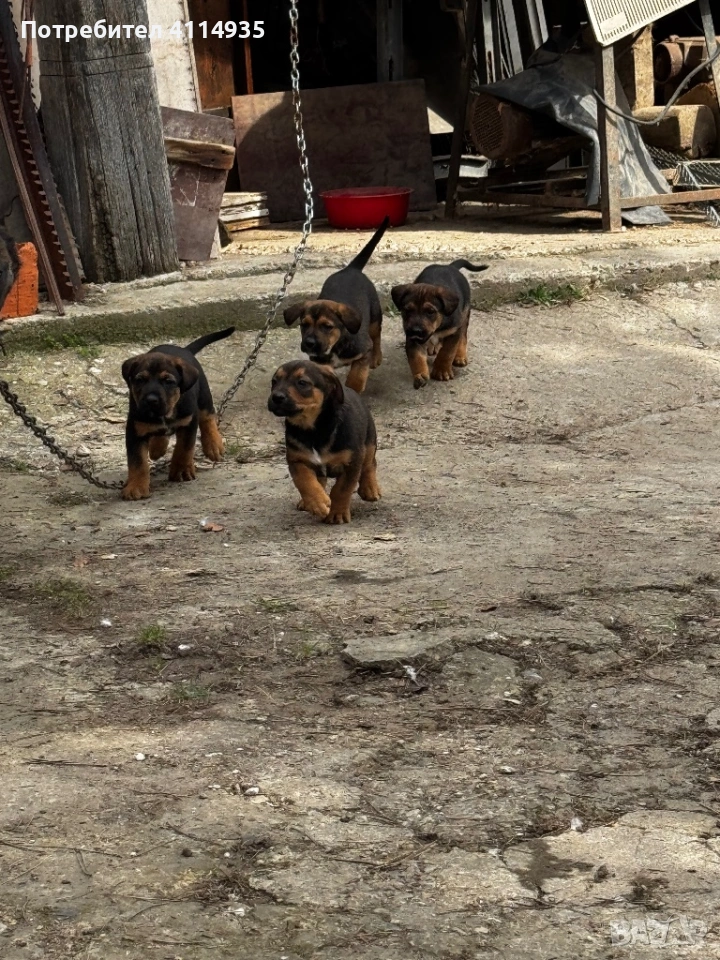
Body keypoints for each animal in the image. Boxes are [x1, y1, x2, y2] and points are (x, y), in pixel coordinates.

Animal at [120, 327, 234, 500]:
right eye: (140, 380)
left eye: (168, 381)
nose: (151, 400)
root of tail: (184, 349)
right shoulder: (136, 430)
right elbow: (137, 462)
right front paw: (136, 486)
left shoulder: (189, 422)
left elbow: (184, 448)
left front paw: (181, 470)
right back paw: (157, 447)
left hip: (204, 396)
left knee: (208, 418)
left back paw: (214, 445)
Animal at [268, 360, 381, 524]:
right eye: (274, 381)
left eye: (302, 382)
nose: (276, 397)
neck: (313, 430)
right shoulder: (297, 460)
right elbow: (305, 481)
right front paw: (318, 502)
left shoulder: (352, 462)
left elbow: (341, 489)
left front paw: (337, 513)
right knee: (320, 479)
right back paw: (308, 501)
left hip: (369, 442)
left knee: (369, 464)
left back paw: (370, 489)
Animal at [283, 217, 389, 394]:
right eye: (303, 325)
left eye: (327, 326)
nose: (309, 343)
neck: (335, 344)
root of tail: (350, 269)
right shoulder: (320, 363)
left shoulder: (363, 350)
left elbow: (357, 376)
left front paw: (354, 387)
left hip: (374, 317)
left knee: (376, 336)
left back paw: (377, 357)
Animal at [391, 259, 488, 388]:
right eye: (407, 311)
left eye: (430, 312)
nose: (416, 330)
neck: (438, 325)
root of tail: (450, 266)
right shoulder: (412, 337)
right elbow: (416, 356)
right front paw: (420, 375)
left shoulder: (453, 332)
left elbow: (447, 352)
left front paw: (441, 371)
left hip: (465, 315)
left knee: (463, 337)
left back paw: (460, 356)